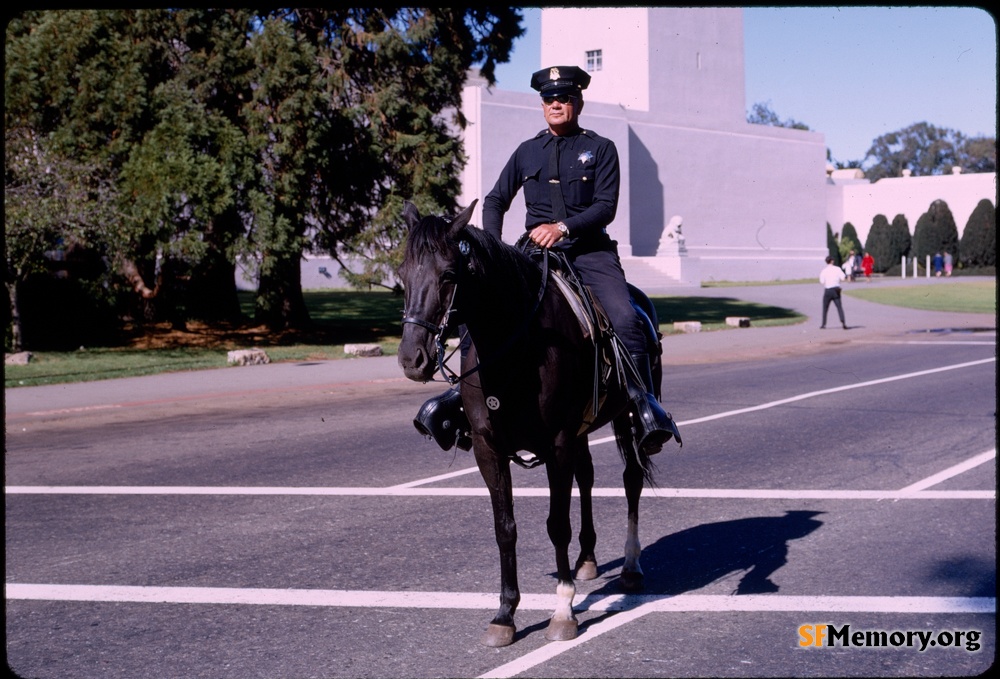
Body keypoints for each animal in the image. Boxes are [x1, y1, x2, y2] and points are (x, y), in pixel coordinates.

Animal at [398, 201, 664, 648]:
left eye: (449, 274)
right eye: (402, 274)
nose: (411, 358)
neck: (518, 349)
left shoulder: (556, 443)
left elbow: (557, 524)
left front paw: (563, 611)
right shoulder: (490, 449)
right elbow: (505, 527)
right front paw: (505, 614)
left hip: (626, 420)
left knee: (630, 479)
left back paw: (630, 565)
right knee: (587, 477)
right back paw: (587, 559)